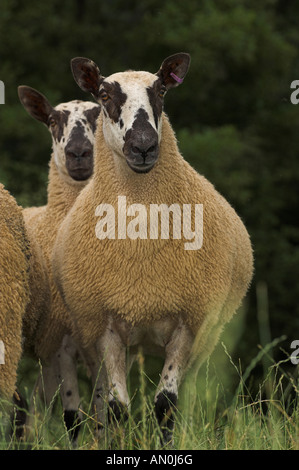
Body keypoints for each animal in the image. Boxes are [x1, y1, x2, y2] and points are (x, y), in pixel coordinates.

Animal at [52, 53, 254, 442]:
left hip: (207, 336)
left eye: (161, 90)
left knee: (189, 391)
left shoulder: (187, 326)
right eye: (103, 94)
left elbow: (165, 405)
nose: (144, 146)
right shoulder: (107, 327)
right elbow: (117, 407)